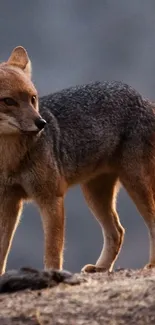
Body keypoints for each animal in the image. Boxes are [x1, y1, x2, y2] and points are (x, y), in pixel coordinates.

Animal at [0, 44, 155, 274]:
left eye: (33, 98)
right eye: (9, 101)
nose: (41, 123)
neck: (11, 157)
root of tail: (143, 98)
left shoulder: (51, 198)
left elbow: (53, 249)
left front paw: (52, 274)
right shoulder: (9, 201)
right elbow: (2, 249)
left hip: (135, 183)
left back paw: (150, 264)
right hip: (93, 194)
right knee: (117, 231)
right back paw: (101, 268)